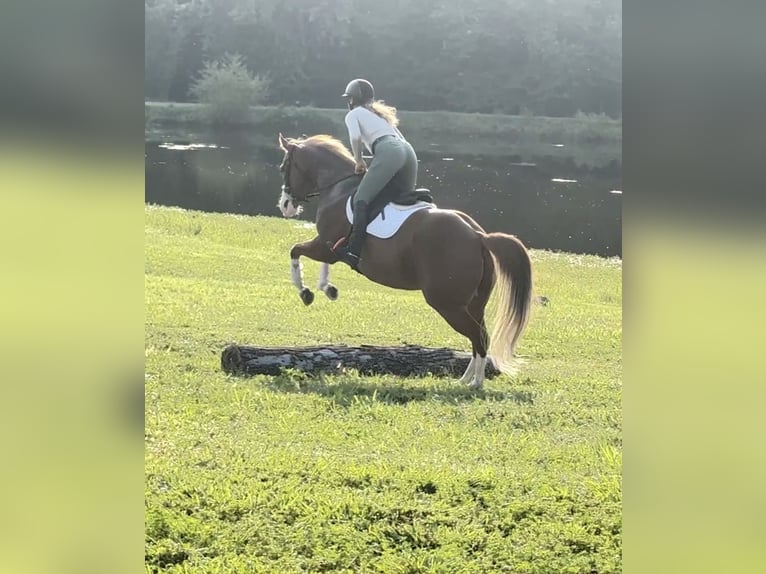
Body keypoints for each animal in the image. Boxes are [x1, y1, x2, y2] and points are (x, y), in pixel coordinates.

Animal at [276, 133, 533, 389]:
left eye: (283, 167)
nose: (285, 205)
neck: (338, 187)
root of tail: (478, 236)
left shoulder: (327, 246)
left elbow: (295, 251)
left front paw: (306, 292)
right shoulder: (327, 247)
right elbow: (312, 259)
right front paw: (326, 288)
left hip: (446, 303)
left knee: (479, 336)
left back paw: (475, 383)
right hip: (473, 303)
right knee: (478, 336)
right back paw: (465, 379)